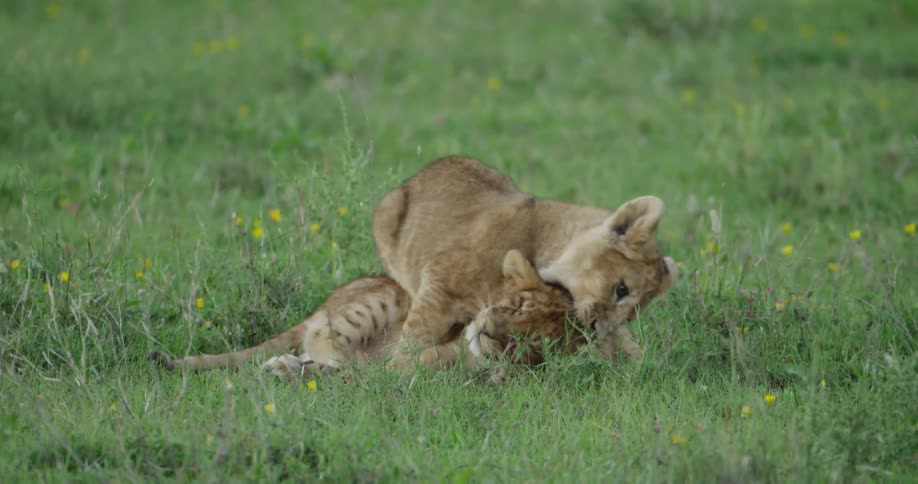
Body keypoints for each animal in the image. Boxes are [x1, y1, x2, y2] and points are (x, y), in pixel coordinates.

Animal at [373, 156, 678, 365]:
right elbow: (416, 335)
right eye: (621, 289)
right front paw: (396, 374)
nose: (596, 329)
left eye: (632, 315)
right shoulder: (439, 278)